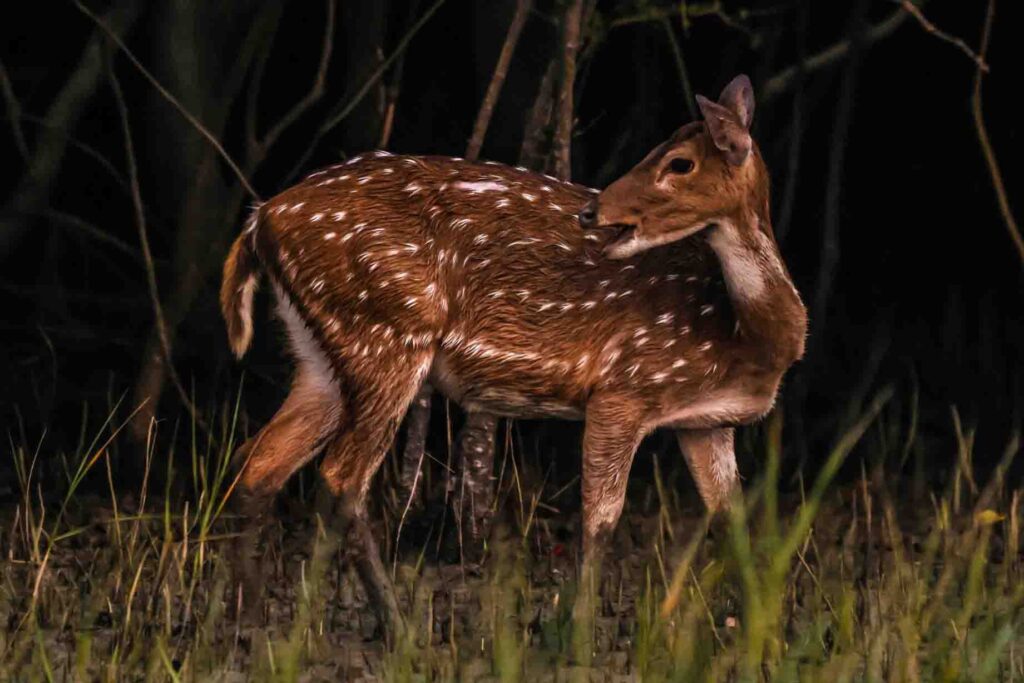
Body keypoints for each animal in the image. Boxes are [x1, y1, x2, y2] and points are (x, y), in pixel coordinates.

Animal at [220, 74, 807, 641]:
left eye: (679, 162)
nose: (592, 211)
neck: (743, 335)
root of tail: (259, 220)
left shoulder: (705, 422)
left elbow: (733, 523)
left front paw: (764, 630)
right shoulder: (623, 387)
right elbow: (601, 521)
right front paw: (578, 632)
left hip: (321, 355)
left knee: (260, 463)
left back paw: (250, 620)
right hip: (387, 332)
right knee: (341, 476)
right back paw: (395, 627)